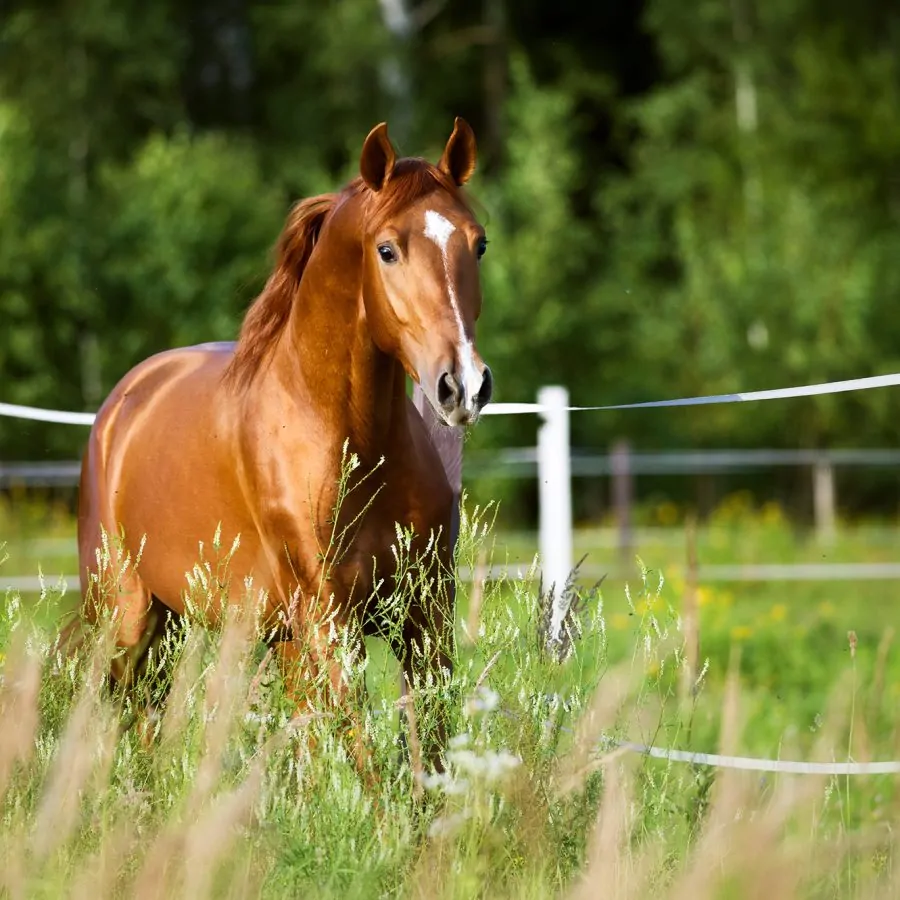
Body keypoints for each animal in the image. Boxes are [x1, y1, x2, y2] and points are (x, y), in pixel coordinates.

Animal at [69, 116, 492, 768]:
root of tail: (123, 402)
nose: (463, 385)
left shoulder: (424, 617)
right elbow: (364, 755)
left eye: (479, 244)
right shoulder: (328, 621)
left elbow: (430, 748)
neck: (351, 443)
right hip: (126, 617)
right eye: (387, 249)